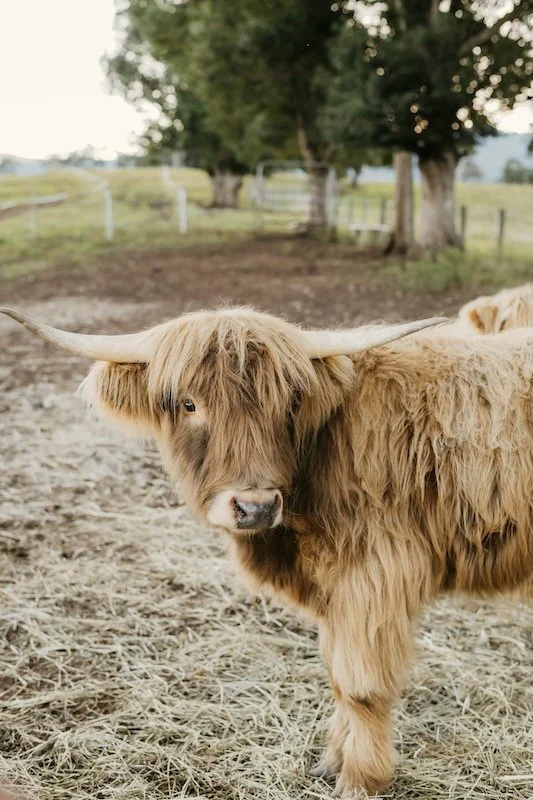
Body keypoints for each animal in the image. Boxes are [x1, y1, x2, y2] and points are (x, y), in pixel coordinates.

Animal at [2, 304, 533, 796]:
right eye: (190, 404)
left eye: (289, 404)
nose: (255, 507)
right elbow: (336, 675)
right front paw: (331, 762)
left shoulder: (373, 576)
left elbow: (360, 686)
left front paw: (361, 779)